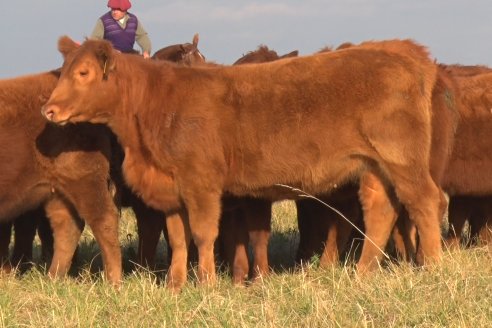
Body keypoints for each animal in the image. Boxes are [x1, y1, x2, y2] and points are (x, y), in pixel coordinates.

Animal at [0, 70, 120, 284]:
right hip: (56, 191)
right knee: (67, 227)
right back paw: (53, 277)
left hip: (86, 181)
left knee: (104, 220)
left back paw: (113, 281)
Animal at [43, 37, 442, 290]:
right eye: (63, 70)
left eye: (83, 73)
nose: (49, 109)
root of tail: (402, 52)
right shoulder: (171, 188)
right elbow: (178, 239)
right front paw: (175, 285)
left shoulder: (201, 183)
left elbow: (203, 234)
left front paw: (205, 283)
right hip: (375, 168)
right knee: (381, 211)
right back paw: (363, 272)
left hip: (402, 160)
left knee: (425, 201)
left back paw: (434, 265)